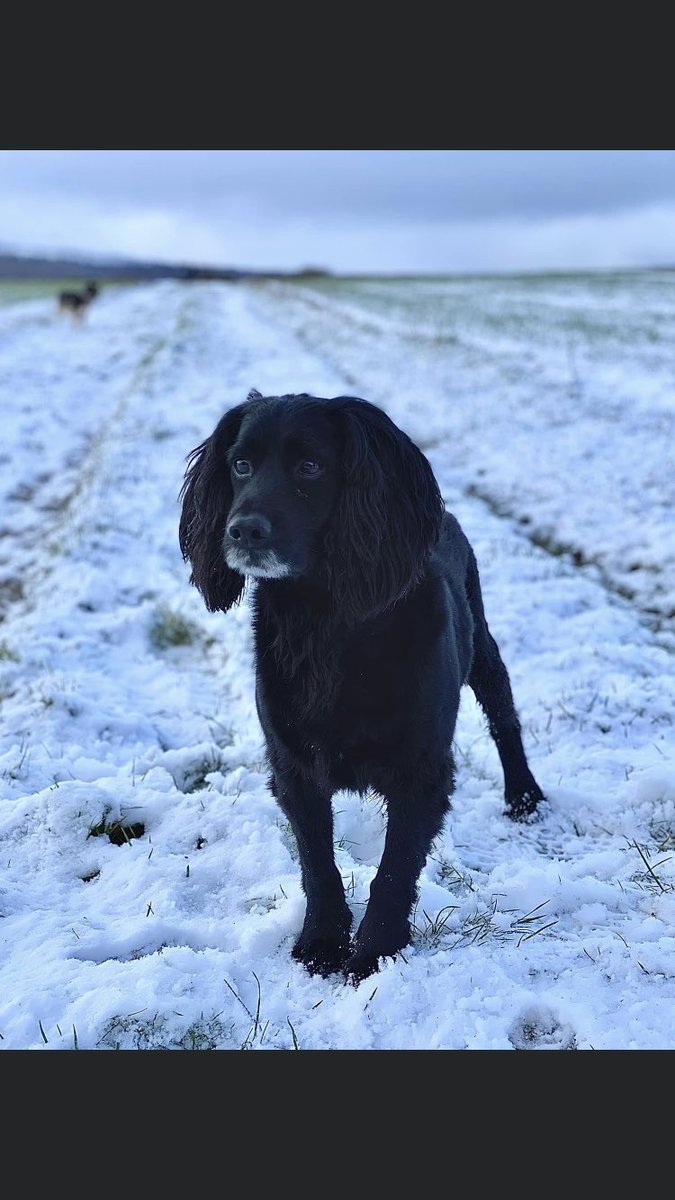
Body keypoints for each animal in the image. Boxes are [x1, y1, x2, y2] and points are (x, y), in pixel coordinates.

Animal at [177, 388, 540, 979]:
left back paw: (525, 795)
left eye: (310, 467)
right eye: (240, 465)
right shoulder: (293, 765)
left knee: (503, 716)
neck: (325, 624)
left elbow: (394, 869)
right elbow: (317, 862)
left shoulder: (421, 769)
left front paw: (375, 952)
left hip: (483, 650)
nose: (243, 530)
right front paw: (321, 941)